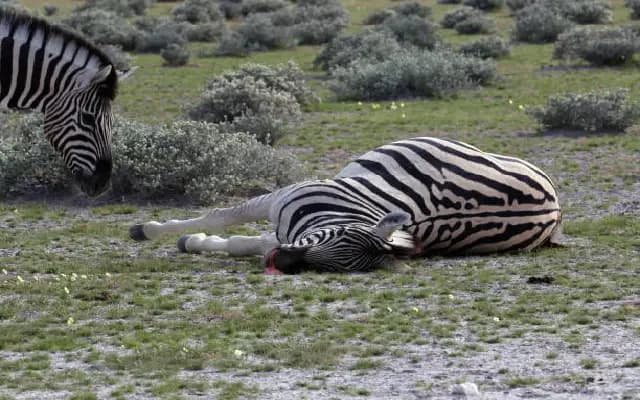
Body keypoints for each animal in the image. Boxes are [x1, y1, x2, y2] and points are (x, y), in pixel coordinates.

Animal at [130, 137, 563, 274]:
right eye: (332, 237)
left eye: (334, 268)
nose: (284, 264)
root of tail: (556, 212)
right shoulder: (281, 200)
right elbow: (223, 218)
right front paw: (154, 231)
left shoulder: (282, 218)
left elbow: (236, 233)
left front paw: (183, 239)